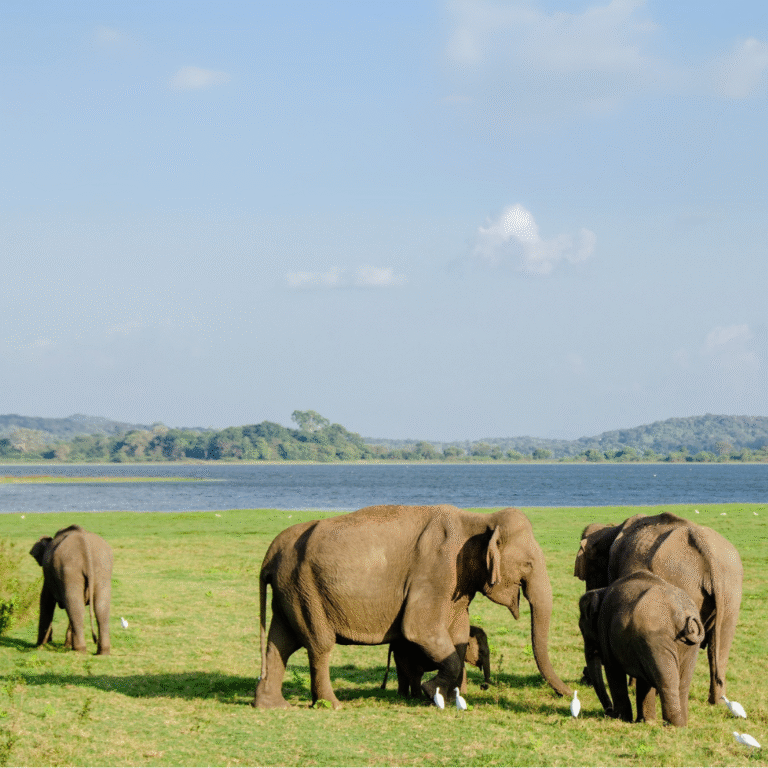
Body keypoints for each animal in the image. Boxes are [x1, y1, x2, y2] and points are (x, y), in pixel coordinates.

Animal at [29, 525, 113, 655]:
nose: (48, 640)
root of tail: (85, 545)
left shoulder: (48, 577)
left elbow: (46, 600)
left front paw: (40, 645)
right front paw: (65, 645)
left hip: (69, 569)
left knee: (75, 606)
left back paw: (79, 650)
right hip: (103, 569)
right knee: (99, 607)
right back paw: (102, 652)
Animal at [253, 504, 571, 709]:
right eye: (528, 564)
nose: (569, 694)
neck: (477, 520)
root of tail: (269, 555)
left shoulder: (457, 584)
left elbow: (457, 634)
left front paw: (450, 697)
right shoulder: (435, 570)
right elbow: (419, 629)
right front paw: (432, 693)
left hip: (290, 590)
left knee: (280, 642)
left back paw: (272, 705)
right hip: (304, 589)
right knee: (318, 644)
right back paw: (332, 705)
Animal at [574, 512, 742, 704]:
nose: (584, 679)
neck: (611, 528)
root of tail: (707, 551)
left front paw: (633, 685)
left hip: (685, 583)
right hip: (731, 588)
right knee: (719, 647)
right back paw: (717, 701)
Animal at [578, 570, 705, 726]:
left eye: (582, 629)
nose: (608, 711)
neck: (601, 590)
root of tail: (681, 614)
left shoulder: (605, 627)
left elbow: (613, 670)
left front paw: (621, 718)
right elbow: (644, 680)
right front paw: (645, 721)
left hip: (656, 639)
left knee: (666, 681)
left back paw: (671, 725)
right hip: (687, 646)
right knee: (682, 684)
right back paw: (681, 726)